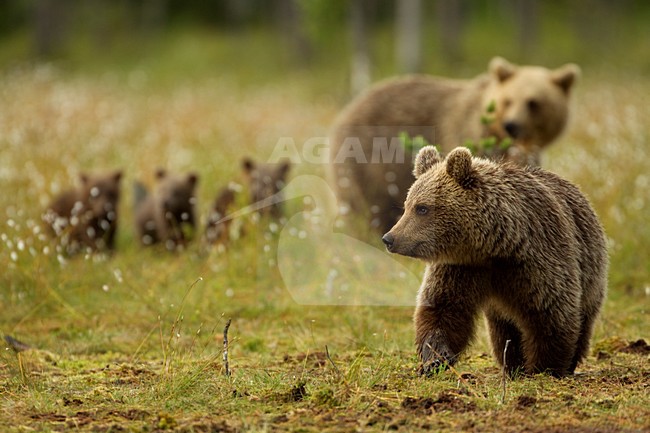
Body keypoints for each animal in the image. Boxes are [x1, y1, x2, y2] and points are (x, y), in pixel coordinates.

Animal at [329, 56, 581, 233]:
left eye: (533, 102)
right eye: (509, 100)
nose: (512, 125)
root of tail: (349, 108)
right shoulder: (465, 131)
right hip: (370, 161)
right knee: (367, 208)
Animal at [381, 146, 607, 377]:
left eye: (422, 208)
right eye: (407, 205)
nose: (389, 238)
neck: (495, 247)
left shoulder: (537, 258)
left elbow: (551, 312)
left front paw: (544, 367)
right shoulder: (461, 267)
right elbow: (442, 307)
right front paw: (435, 359)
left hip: (591, 270)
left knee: (584, 318)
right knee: (504, 331)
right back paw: (512, 364)